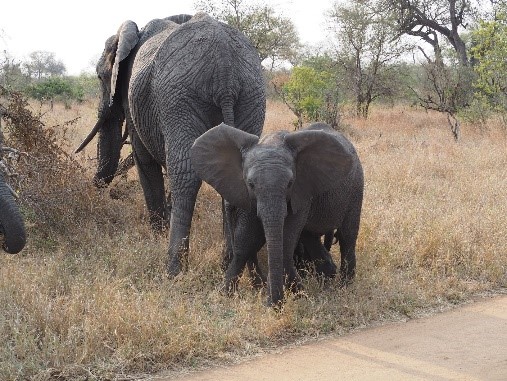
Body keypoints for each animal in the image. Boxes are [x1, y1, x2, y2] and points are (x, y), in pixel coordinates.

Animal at [76, 13, 268, 274]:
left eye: (99, 76)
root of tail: (225, 70)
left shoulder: (132, 96)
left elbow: (144, 159)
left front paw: (158, 234)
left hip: (179, 98)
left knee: (185, 175)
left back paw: (174, 270)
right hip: (251, 95)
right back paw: (231, 264)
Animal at [191, 121, 366, 306]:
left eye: (290, 183)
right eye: (251, 184)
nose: (271, 304)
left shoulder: (301, 192)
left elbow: (284, 241)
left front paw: (296, 296)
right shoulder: (248, 196)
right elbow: (246, 240)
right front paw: (226, 295)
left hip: (356, 188)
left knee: (347, 237)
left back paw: (344, 287)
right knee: (310, 236)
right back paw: (327, 278)